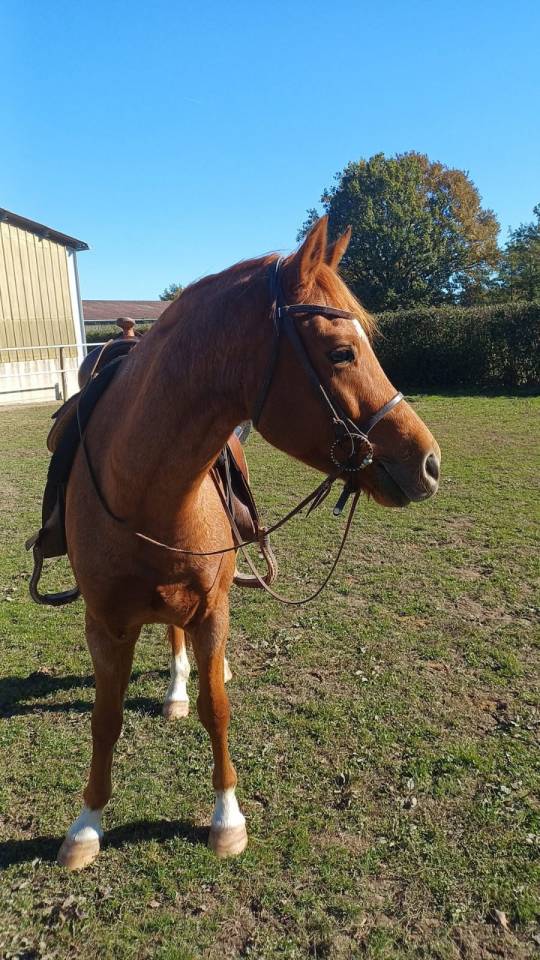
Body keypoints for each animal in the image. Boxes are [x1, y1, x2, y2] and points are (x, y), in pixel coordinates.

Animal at [53, 216, 440, 870]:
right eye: (342, 351)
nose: (430, 463)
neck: (144, 486)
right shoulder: (103, 623)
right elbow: (105, 720)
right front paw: (85, 825)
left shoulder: (211, 608)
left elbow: (217, 709)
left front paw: (226, 818)